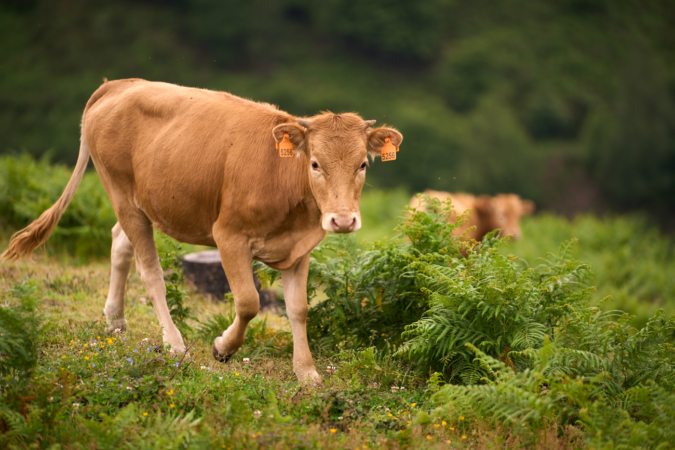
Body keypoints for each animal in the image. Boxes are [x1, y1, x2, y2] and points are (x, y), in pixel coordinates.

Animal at [1, 79, 403, 382]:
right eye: (316, 163)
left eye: (363, 164)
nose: (343, 221)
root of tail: (118, 84)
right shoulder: (228, 236)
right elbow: (248, 302)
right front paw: (223, 348)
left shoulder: (299, 248)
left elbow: (299, 309)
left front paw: (306, 372)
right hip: (120, 191)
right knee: (150, 272)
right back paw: (174, 343)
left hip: (136, 202)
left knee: (119, 243)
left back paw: (115, 319)